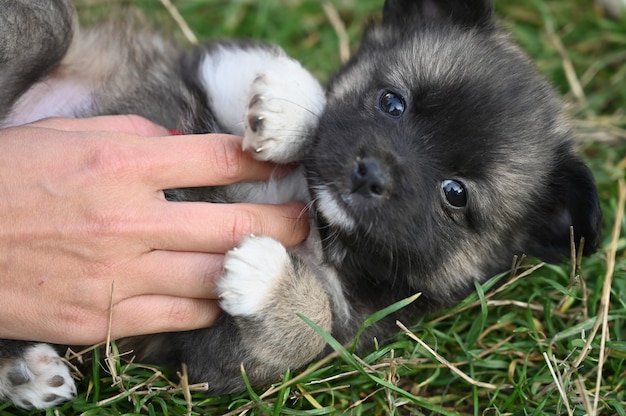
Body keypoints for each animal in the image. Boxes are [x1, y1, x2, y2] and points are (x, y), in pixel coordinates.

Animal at [0, 0, 600, 410]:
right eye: (392, 103)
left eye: (455, 194)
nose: (370, 172)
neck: (316, 219)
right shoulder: (204, 69)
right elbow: (273, 78)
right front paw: (286, 112)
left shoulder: (217, 357)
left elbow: (307, 325)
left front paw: (265, 277)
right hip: (54, 31)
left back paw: (25, 372)